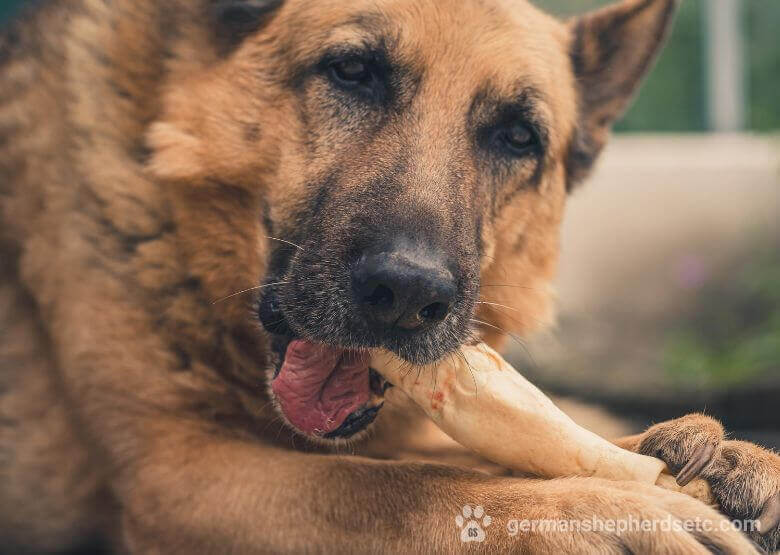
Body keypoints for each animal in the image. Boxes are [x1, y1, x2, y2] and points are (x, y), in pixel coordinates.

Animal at [1, 1, 780, 552]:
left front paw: (712, 462)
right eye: (353, 71)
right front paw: (600, 510)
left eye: (517, 136)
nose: (407, 294)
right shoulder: (177, 475)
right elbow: (399, 486)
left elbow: (500, 449)